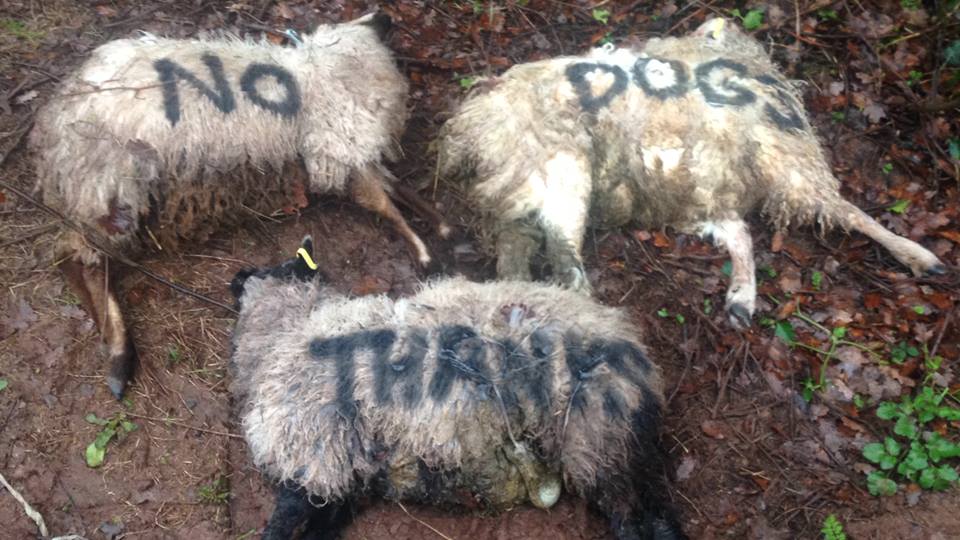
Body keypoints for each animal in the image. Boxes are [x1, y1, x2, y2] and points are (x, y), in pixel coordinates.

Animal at [29, 11, 442, 396]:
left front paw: (439, 224)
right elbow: (382, 202)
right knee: (75, 256)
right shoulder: (336, 149)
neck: (328, 66)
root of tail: (57, 120)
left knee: (76, 257)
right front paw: (424, 252)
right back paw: (119, 353)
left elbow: (395, 187)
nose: (384, 16)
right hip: (110, 186)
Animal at [230, 238, 688, 540]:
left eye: (267, 269)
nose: (236, 276)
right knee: (658, 518)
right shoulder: (346, 477)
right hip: (615, 448)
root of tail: (632, 347)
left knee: (634, 522)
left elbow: (280, 526)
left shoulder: (314, 454)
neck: (286, 331)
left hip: (594, 439)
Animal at [438, 16, 948, 326]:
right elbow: (848, 211)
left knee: (518, 257)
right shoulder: (781, 161)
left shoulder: (705, 187)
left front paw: (742, 296)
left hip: (528, 189)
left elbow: (741, 235)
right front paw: (918, 254)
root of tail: (478, 119)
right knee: (565, 262)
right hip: (564, 166)